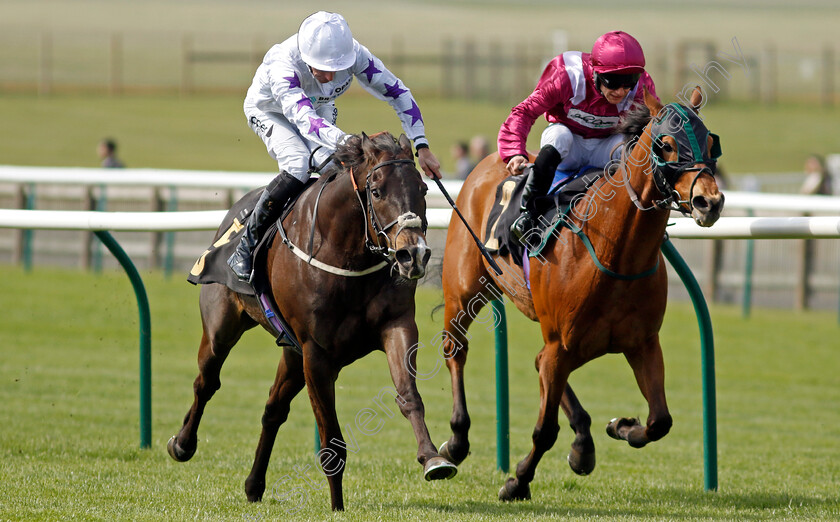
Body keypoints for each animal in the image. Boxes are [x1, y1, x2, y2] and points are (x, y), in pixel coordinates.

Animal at [169, 130, 460, 508]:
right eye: (377, 191)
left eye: (423, 188)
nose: (414, 254)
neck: (347, 254)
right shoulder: (316, 354)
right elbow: (331, 443)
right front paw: (337, 507)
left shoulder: (395, 326)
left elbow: (408, 394)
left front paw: (433, 458)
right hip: (223, 328)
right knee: (206, 382)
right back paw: (182, 444)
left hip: (292, 353)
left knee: (273, 409)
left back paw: (254, 484)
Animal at [440, 87, 720, 498]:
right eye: (666, 144)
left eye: (712, 143)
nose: (709, 202)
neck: (616, 254)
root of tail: (486, 163)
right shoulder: (562, 341)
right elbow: (544, 429)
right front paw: (517, 480)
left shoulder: (642, 343)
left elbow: (659, 421)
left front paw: (621, 426)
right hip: (462, 289)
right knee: (456, 349)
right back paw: (457, 441)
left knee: (539, 361)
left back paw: (583, 444)